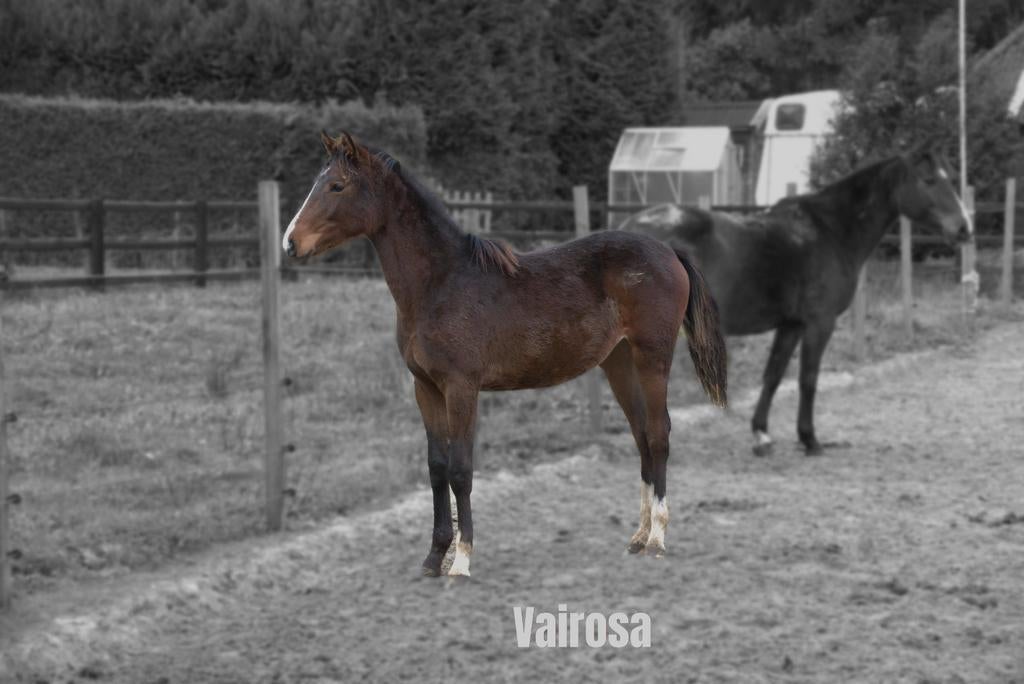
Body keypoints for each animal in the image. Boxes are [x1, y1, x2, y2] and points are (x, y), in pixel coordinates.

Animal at [283, 131, 728, 577]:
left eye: (337, 185)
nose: (290, 242)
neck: (441, 284)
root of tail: (669, 251)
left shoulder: (462, 388)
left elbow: (461, 470)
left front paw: (461, 560)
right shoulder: (425, 388)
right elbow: (436, 468)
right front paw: (433, 557)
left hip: (652, 358)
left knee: (658, 433)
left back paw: (657, 538)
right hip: (618, 363)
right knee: (641, 436)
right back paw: (638, 535)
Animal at [618, 141, 971, 457]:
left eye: (952, 177)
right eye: (929, 180)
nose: (964, 229)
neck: (831, 231)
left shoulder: (791, 325)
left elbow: (773, 376)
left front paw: (761, 435)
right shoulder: (819, 323)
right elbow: (808, 379)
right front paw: (809, 439)